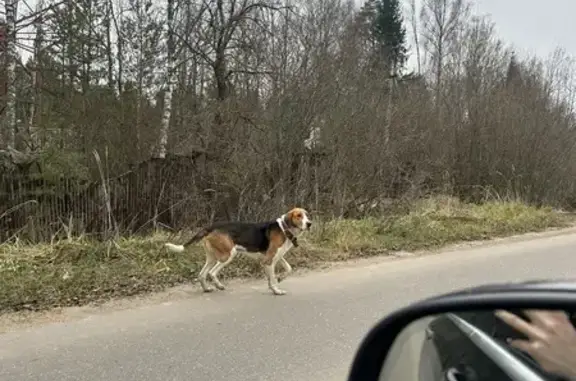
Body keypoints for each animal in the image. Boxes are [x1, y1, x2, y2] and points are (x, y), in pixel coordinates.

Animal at [164, 208, 312, 294]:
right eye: (298, 216)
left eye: (307, 215)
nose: (309, 223)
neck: (284, 228)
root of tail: (210, 227)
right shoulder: (269, 259)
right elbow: (273, 278)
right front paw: (276, 289)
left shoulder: (277, 257)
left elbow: (288, 269)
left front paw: (280, 279)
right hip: (228, 254)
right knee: (212, 273)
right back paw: (219, 286)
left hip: (212, 257)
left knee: (202, 274)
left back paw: (207, 288)